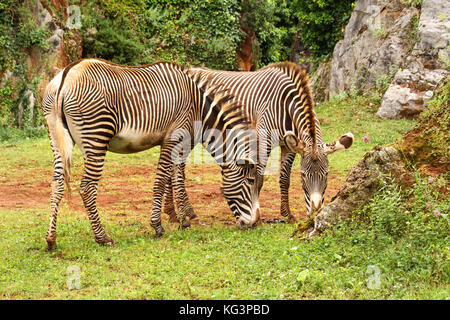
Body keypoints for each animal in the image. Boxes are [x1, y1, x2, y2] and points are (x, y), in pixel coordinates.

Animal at [43, 58, 260, 251]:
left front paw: (182, 220)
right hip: (96, 136)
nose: (255, 223)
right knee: (87, 188)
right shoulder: (174, 137)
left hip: (56, 138)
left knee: (56, 185)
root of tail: (66, 75)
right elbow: (163, 181)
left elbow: (177, 179)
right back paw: (102, 238)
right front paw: (159, 225)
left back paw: (51, 240)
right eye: (250, 181)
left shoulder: (177, 142)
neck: (198, 108)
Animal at [163, 61, 354, 224]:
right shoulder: (264, 140)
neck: (285, 106)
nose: (314, 212)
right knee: (176, 169)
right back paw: (185, 213)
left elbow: (284, 179)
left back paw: (172, 213)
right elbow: (259, 179)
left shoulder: (289, 145)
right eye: (304, 175)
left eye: (327, 174)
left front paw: (287, 214)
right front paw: (258, 216)